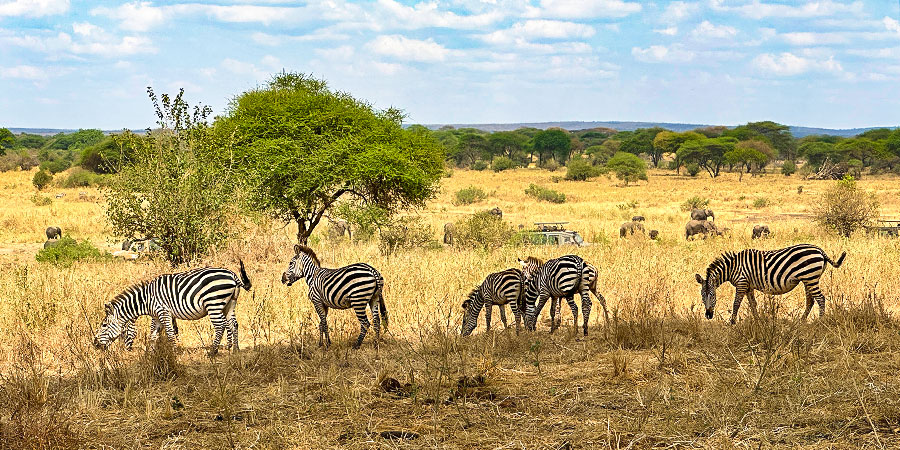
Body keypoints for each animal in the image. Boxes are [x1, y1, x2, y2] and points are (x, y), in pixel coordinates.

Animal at [92, 262, 250, 356]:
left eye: (104, 325)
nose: (95, 345)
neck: (146, 299)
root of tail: (233, 275)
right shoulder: (156, 316)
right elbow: (154, 335)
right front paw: (150, 354)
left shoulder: (163, 312)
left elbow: (169, 332)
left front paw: (174, 352)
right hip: (230, 303)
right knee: (233, 324)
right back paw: (235, 349)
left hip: (214, 303)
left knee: (220, 326)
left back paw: (213, 351)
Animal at [692, 244, 848, 326]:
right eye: (702, 296)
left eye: (713, 295)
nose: (708, 315)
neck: (733, 267)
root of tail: (820, 250)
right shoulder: (748, 286)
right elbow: (753, 304)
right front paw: (758, 321)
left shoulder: (742, 283)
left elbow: (736, 304)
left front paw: (732, 322)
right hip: (808, 279)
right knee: (810, 301)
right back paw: (801, 321)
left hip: (810, 278)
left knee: (820, 299)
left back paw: (820, 321)